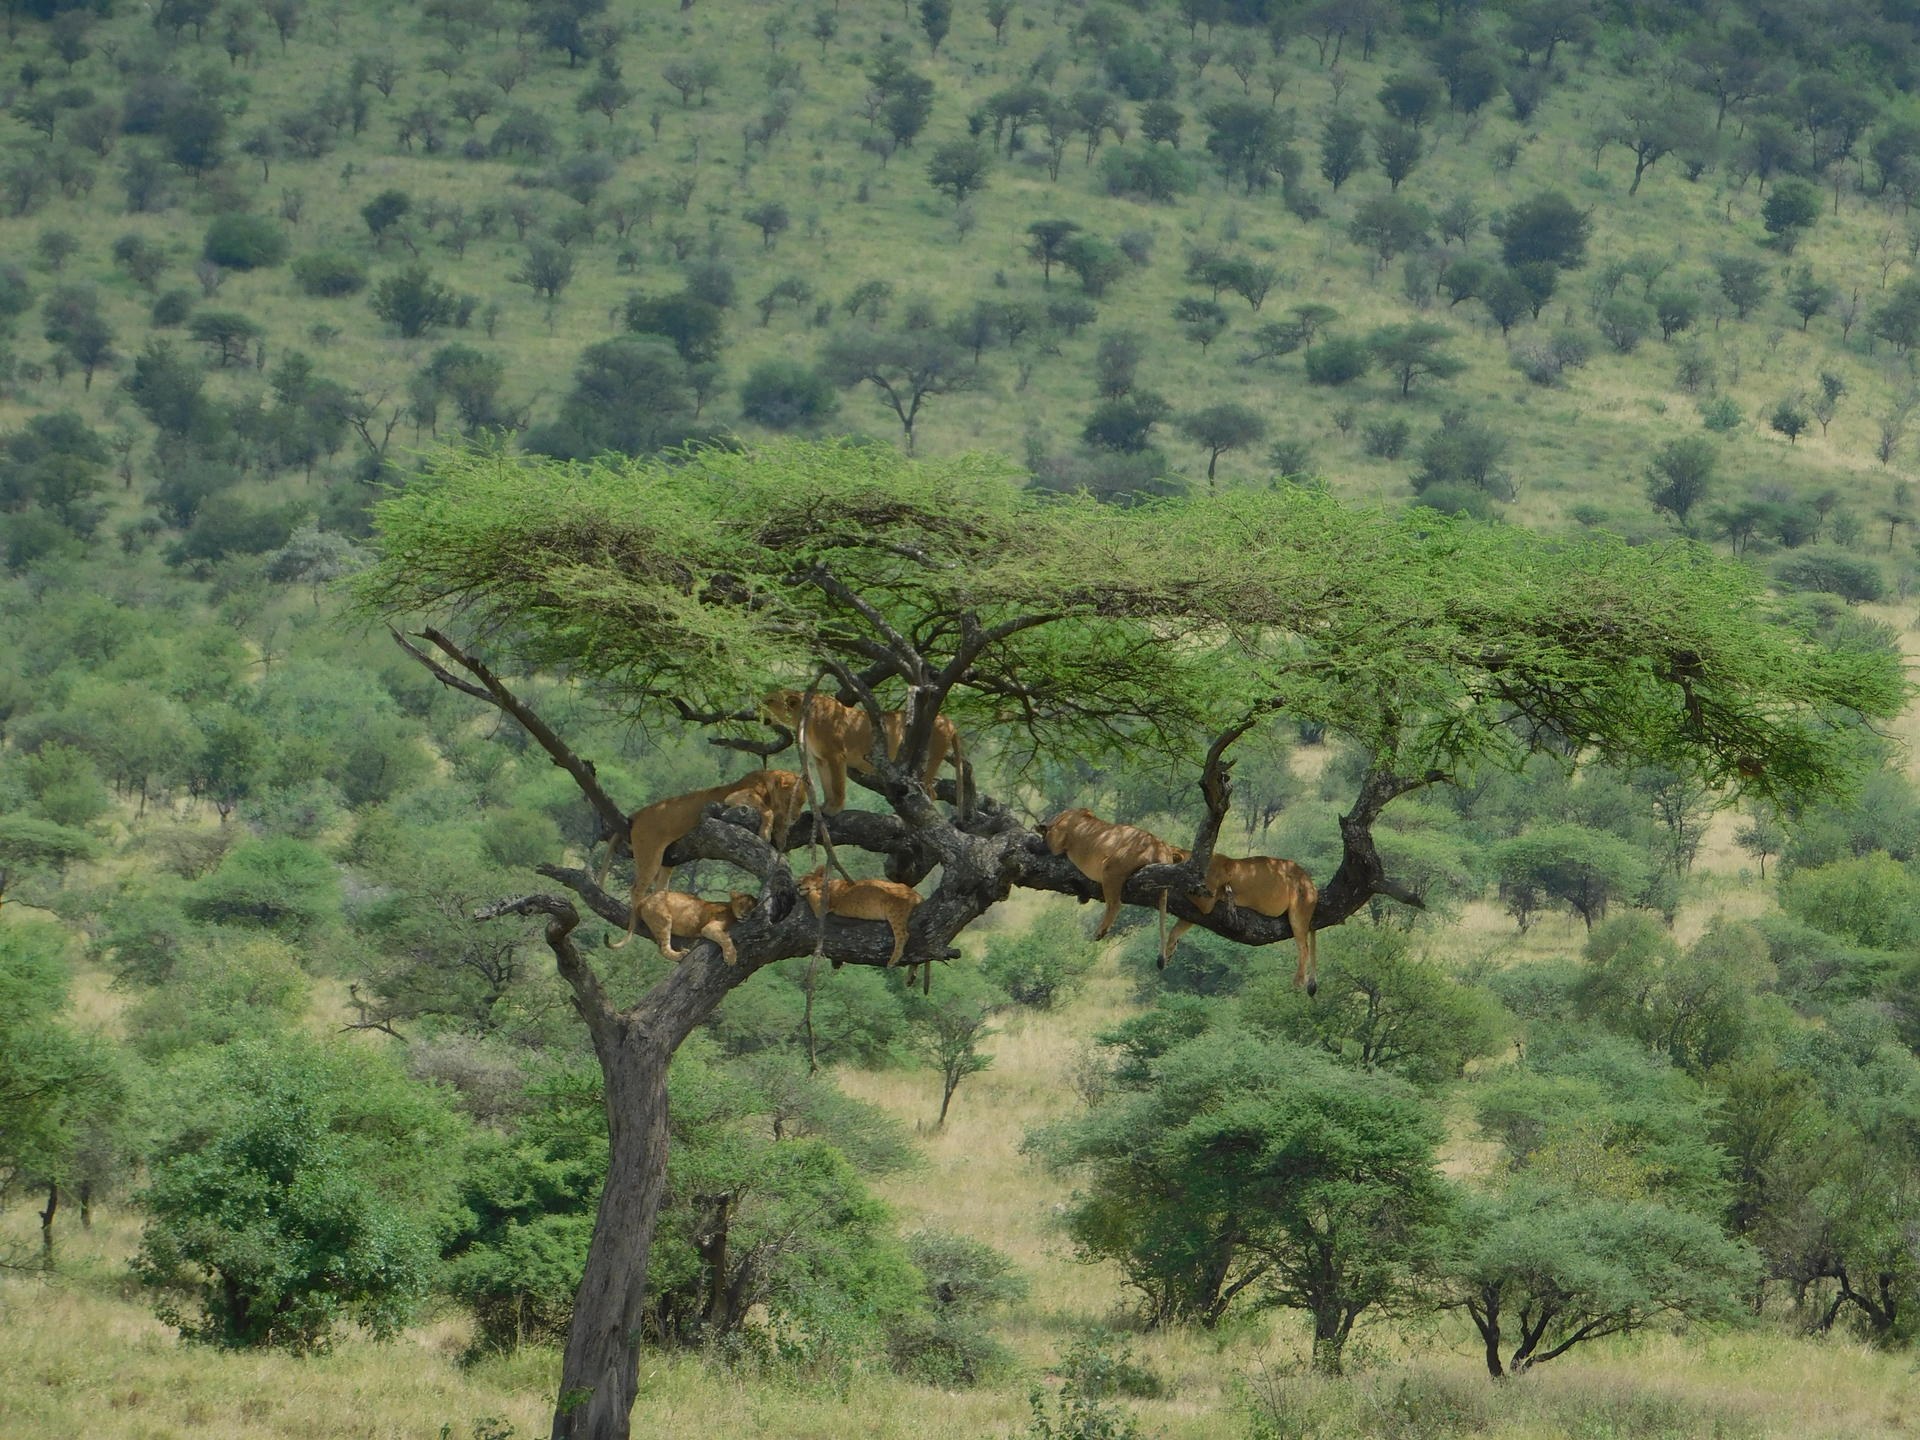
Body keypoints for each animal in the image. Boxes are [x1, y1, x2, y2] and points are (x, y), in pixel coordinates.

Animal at [607, 769, 805, 949]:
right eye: (793, 800)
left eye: (803, 802)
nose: (795, 817)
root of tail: (638, 814)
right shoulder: (735, 797)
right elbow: (767, 810)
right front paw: (765, 832)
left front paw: (779, 836)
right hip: (649, 853)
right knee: (636, 889)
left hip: (665, 861)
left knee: (659, 887)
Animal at [761, 689, 963, 813]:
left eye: (770, 701)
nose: (757, 709)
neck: (803, 719)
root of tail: (948, 720)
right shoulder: (821, 759)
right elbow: (827, 786)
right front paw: (824, 806)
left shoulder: (836, 756)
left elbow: (837, 785)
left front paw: (835, 809)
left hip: (929, 760)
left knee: (930, 793)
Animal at [795, 865, 923, 967]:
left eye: (805, 878)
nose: (797, 884)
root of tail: (916, 894)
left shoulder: (822, 907)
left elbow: (810, 894)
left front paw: (805, 891)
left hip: (895, 912)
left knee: (903, 935)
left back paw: (893, 961)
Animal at [1042, 808, 1187, 943]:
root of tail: (1160, 847)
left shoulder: (1057, 841)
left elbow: (1049, 840)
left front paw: (1040, 829)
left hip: (1111, 868)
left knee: (1115, 904)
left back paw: (1100, 931)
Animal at [1164, 854, 1319, 994]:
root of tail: (1310, 881)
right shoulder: (1193, 911)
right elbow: (1176, 930)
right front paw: (1168, 951)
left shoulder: (1206, 901)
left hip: (1300, 910)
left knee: (1304, 948)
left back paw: (1299, 979)